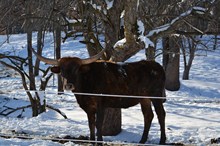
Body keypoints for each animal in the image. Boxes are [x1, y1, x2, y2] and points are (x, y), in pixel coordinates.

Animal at [31, 48, 166, 144]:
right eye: (62, 70)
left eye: (76, 69)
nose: (68, 85)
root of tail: (158, 66)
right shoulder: (88, 108)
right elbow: (91, 124)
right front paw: (92, 141)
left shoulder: (101, 104)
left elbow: (98, 123)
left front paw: (100, 141)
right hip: (144, 98)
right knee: (148, 115)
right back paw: (142, 140)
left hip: (156, 96)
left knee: (161, 114)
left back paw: (162, 140)